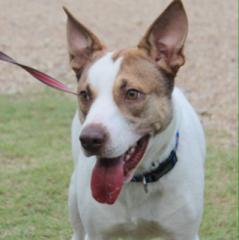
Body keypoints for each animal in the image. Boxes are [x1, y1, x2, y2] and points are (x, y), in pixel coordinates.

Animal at [63, 0, 205, 239]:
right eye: (84, 95)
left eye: (132, 93)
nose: (90, 139)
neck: (140, 179)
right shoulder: (97, 232)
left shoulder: (184, 232)